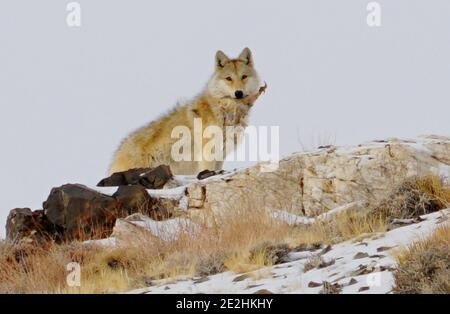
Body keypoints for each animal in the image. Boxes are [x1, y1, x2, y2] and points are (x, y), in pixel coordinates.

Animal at [108, 47, 264, 175]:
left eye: (244, 77)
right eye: (228, 78)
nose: (239, 93)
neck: (225, 111)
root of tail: (116, 155)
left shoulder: (221, 155)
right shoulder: (207, 154)